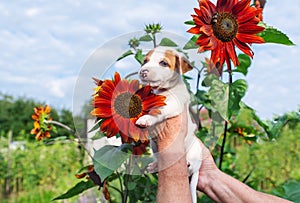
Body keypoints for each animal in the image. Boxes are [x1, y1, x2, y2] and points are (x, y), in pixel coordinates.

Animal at [135, 46, 202, 203]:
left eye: (163, 63)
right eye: (145, 61)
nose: (143, 71)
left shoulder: (173, 104)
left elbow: (158, 111)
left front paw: (146, 119)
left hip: (194, 151)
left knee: (189, 167)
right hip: (154, 147)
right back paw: (154, 166)